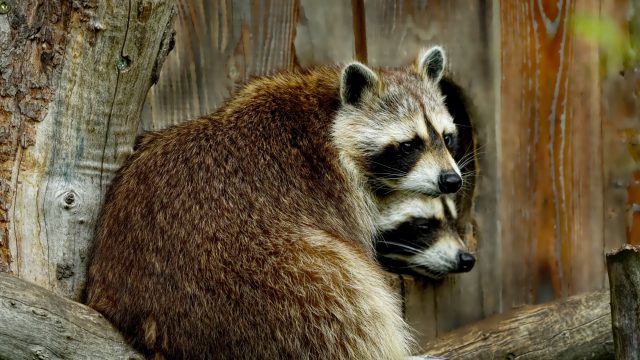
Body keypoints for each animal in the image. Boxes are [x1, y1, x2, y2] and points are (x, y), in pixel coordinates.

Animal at [85, 46, 458, 358]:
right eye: (409, 145)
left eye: (448, 137)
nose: (451, 180)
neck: (328, 113)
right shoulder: (337, 192)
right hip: (273, 288)